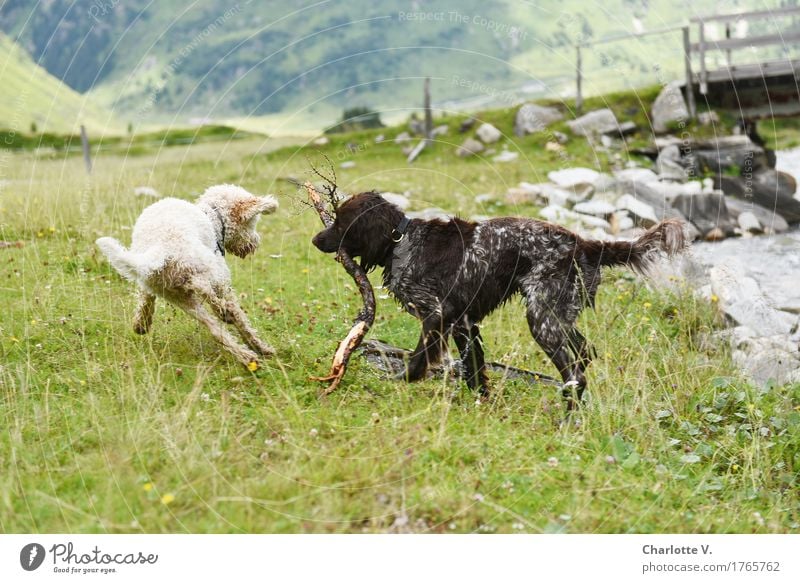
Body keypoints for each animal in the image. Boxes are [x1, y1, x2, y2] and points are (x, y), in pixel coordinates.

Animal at [97, 185, 278, 368]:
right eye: (252, 222)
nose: (255, 243)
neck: (212, 217)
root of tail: (161, 248)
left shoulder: (149, 285)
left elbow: (145, 300)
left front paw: (141, 324)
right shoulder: (223, 282)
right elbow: (242, 320)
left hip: (178, 296)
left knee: (215, 329)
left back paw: (245, 355)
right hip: (205, 270)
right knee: (206, 290)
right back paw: (234, 321)